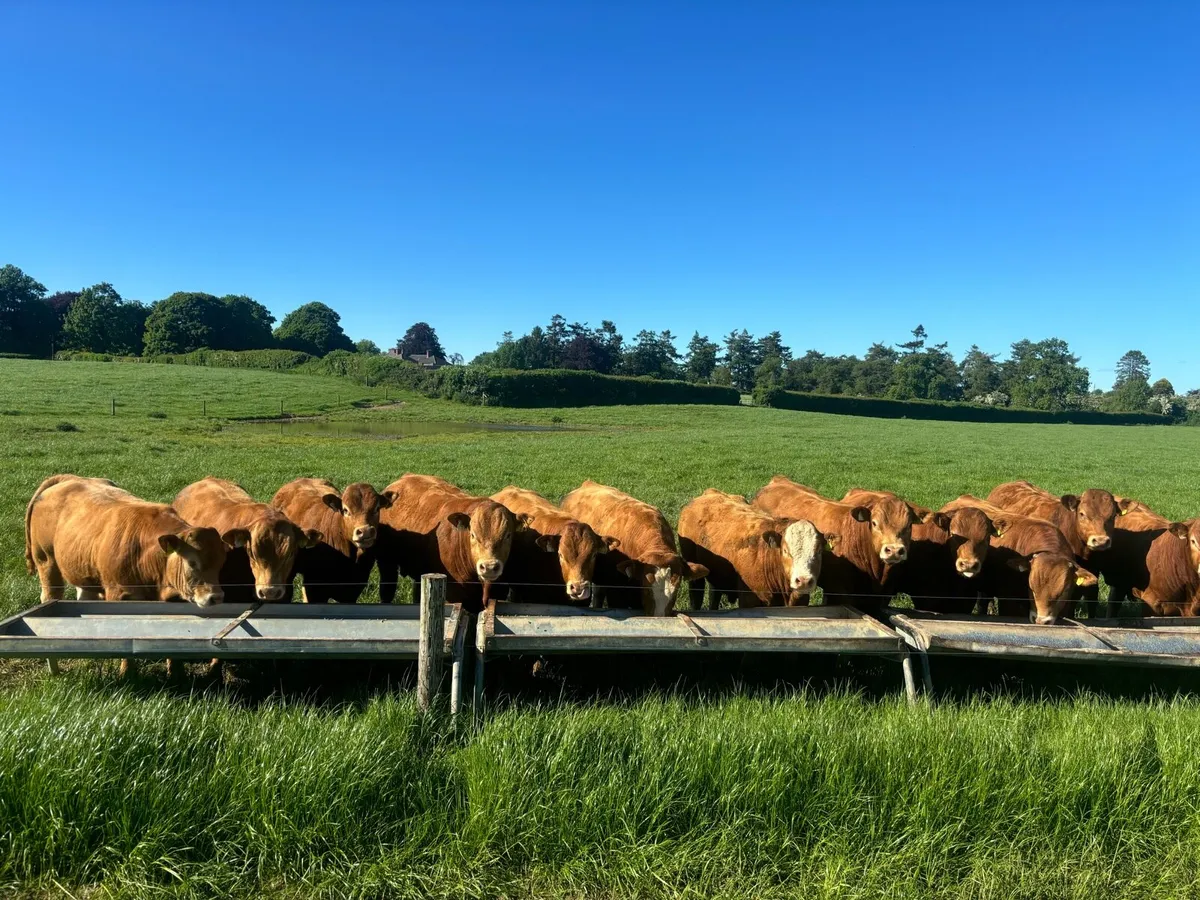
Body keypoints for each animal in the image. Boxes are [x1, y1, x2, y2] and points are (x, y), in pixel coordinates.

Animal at [25, 474, 233, 677]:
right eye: (192, 562)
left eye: (222, 563)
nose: (216, 597)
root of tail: (68, 479)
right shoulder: (119, 596)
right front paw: (127, 674)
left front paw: (176, 674)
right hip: (46, 561)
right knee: (49, 597)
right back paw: (54, 668)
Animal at [677, 489, 824, 609]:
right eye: (785, 551)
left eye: (819, 551)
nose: (803, 581)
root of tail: (709, 493)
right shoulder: (749, 600)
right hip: (694, 574)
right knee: (696, 597)